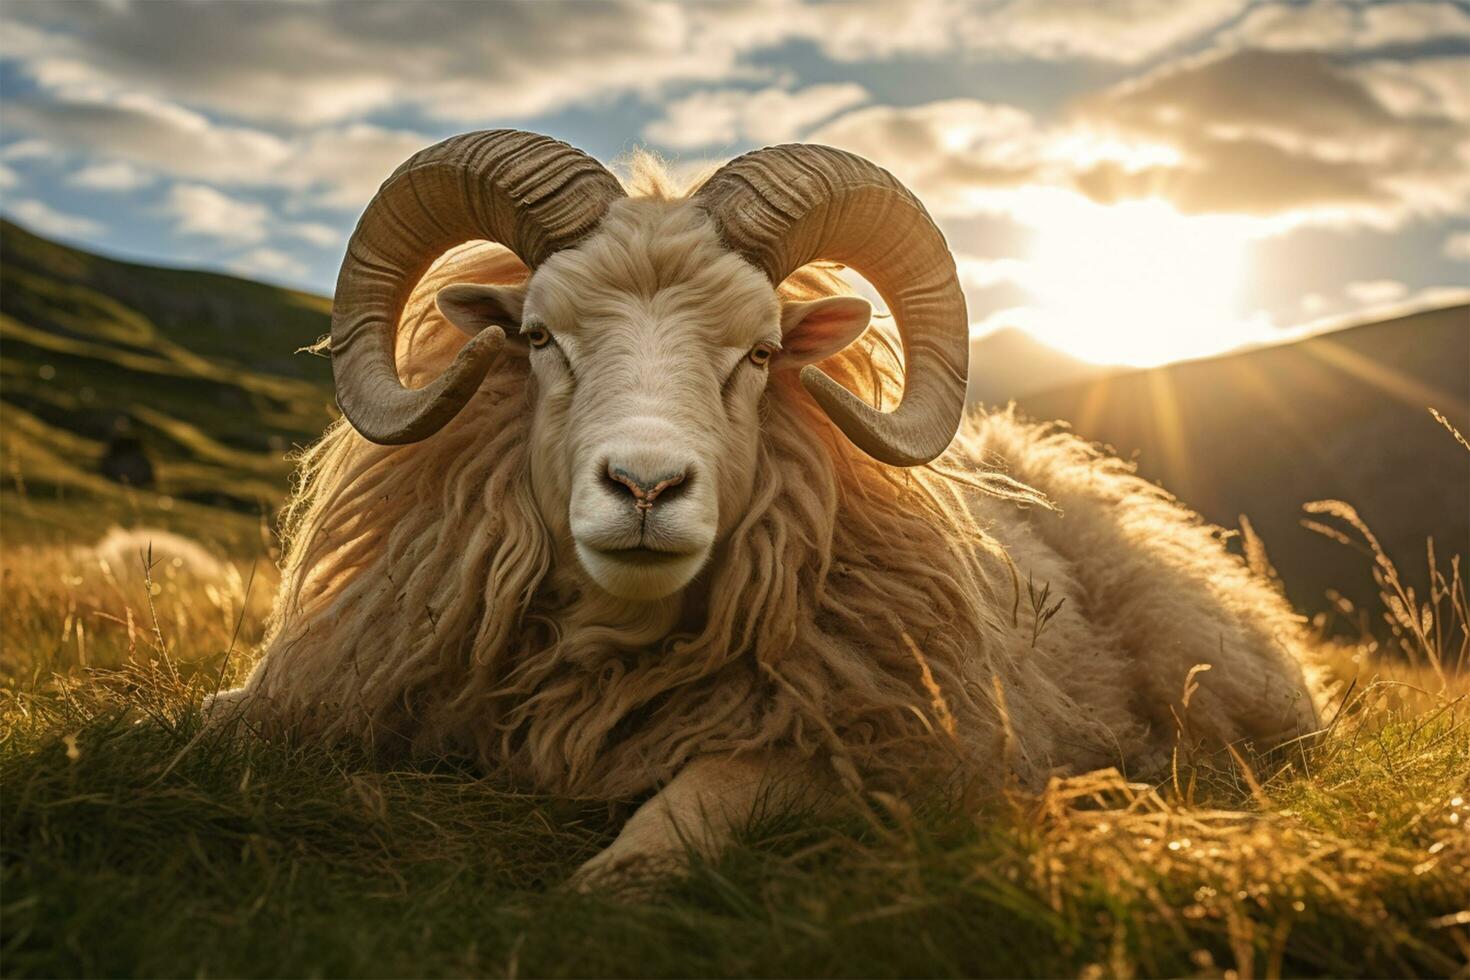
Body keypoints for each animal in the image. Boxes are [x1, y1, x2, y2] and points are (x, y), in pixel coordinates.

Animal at [214, 132, 1323, 887]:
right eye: (536, 338)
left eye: (760, 351)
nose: (646, 487)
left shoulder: (886, 749)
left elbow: (697, 804)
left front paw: (606, 885)